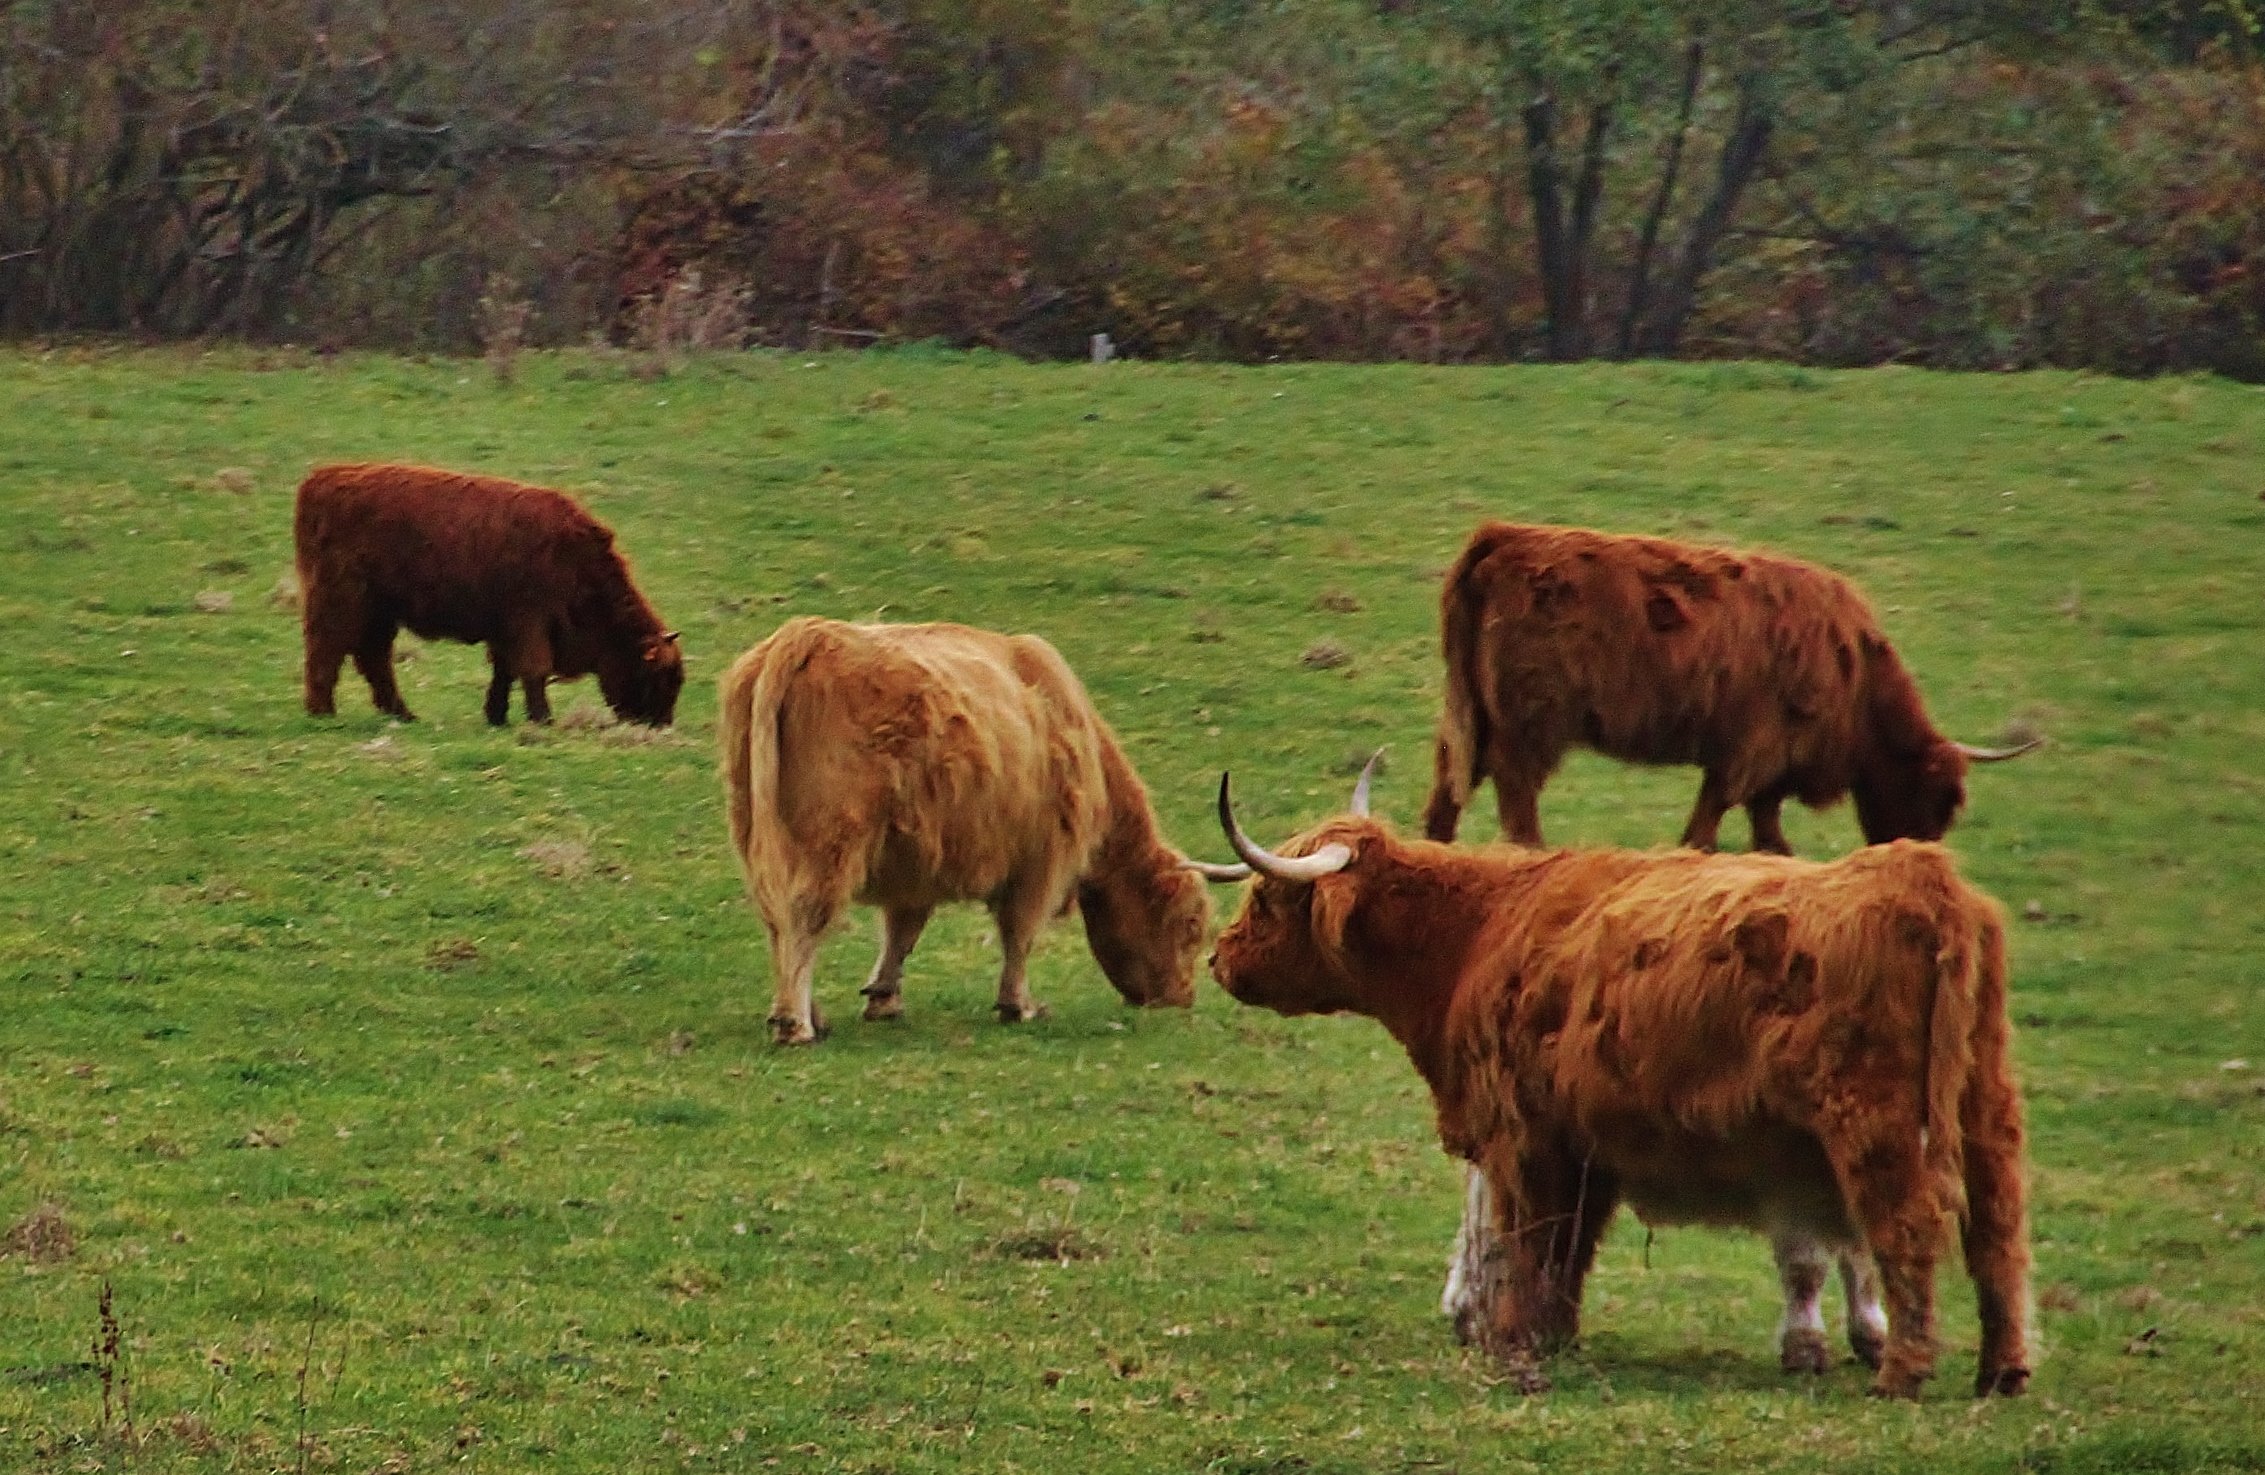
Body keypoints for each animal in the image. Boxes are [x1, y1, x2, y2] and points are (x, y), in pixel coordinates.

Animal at [292, 466, 679, 725]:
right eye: (657, 677)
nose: (658, 726)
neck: (574, 557)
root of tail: (320, 479)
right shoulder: (529, 624)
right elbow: (533, 669)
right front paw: (543, 719)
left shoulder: (507, 631)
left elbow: (505, 671)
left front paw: (497, 715)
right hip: (343, 605)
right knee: (327, 651)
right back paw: (323, 711)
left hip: (380, 613)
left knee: (373, 658)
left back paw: (404, 714)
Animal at [724, 616, 1223, 1042]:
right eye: (1191, 924)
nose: (1182, 998)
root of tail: (806, 634)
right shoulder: (1041, 858)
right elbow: (1020, 931)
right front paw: (1019, 1005)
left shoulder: (915, 858)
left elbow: (903, 929)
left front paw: (884, 999)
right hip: (829, 839)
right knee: (805, 914)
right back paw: (795, 1024)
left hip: (758, 834)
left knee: (778, 920)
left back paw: (808, 1013)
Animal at [1204, 765, 2038, 1404]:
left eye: (1268, 898)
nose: (1218, 957)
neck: (1475, 932)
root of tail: (1922, 880)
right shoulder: (1585, 1150)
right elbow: (1566, 1251)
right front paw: (1553, 1335)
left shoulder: (1521, 1139)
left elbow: (1526, 1238)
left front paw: (1511, 1342)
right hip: (1985, 1107)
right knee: (1997, 1232)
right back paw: (2001, 1370)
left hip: (1871, 1123)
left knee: (1908, 1226)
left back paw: (1901, 1373)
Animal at [1422, 521, 2047, 851]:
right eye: (1943, 797)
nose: (1916, 859)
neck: (1855, 675)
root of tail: (1505, 537)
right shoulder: (1749, 752)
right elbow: (1709, 823)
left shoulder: (1769, 766)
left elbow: (1767, 835)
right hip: (1528, 728)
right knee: (1516, 799)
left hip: (1471, 715)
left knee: (1448, 784)